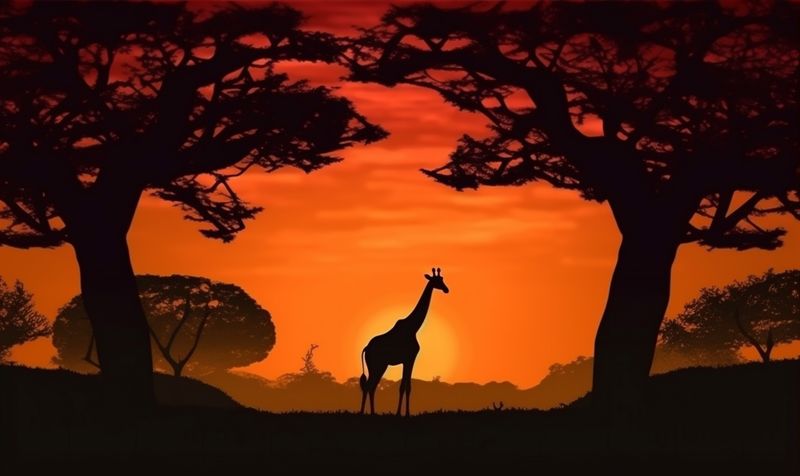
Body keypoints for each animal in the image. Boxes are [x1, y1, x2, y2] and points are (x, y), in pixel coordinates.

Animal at [359, 267, 449, 416]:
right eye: (437, 281)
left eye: (442, 279)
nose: (447, 289)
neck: (413, 327)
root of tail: (366, 347)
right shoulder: (410, 358)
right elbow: (405, 387)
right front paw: (402, 413)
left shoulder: (406, 360)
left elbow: (406, 386)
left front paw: (403, 413)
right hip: (378, 365)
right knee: (369, 385)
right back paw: (367, 413)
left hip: (377, 366)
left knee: (370, 386)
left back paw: (369, 412)